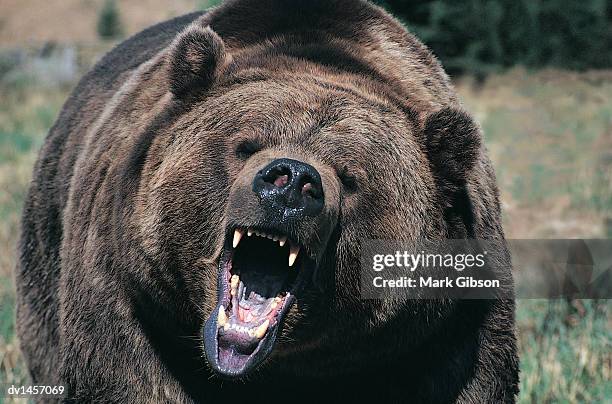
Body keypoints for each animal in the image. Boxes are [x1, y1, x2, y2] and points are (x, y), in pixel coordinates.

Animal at [15, 0, 516, 400]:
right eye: (247, 145)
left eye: (351, 176)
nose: (292, 182)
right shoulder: (127, 291)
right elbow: (125, 376)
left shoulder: (444, 328)